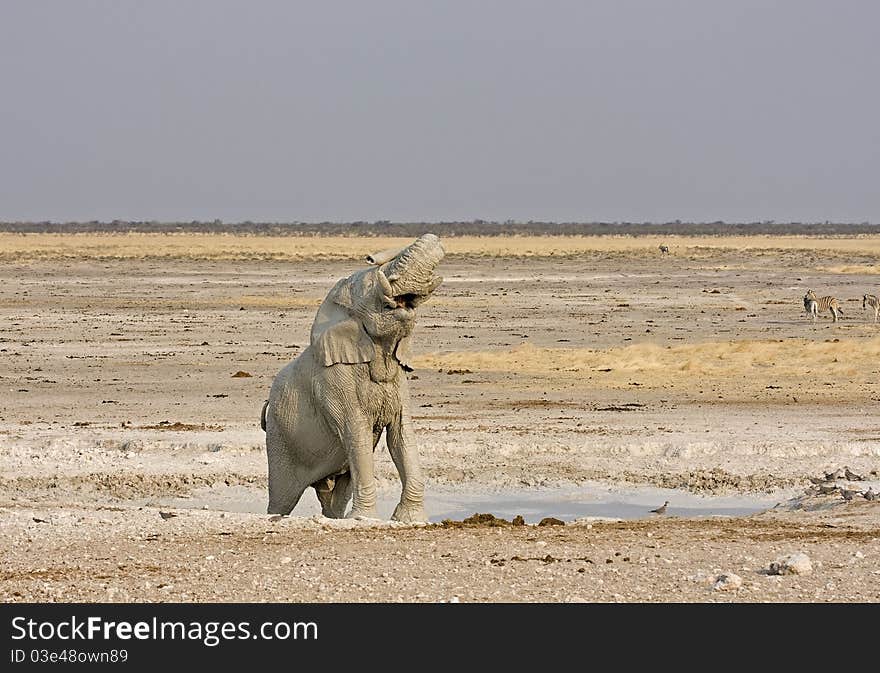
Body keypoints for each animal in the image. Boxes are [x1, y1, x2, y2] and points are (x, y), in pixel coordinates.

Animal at [258, 231, 444, 520]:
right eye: (371, 287)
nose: (369, 257)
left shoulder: (399, 382)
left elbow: (401, 435)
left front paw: (410, 520)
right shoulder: (336, 382)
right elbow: (357, 432)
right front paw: (364, 519)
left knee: (334, 495)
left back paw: (333, 518)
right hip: (280, 439)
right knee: (282, 497)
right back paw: (276, 516)